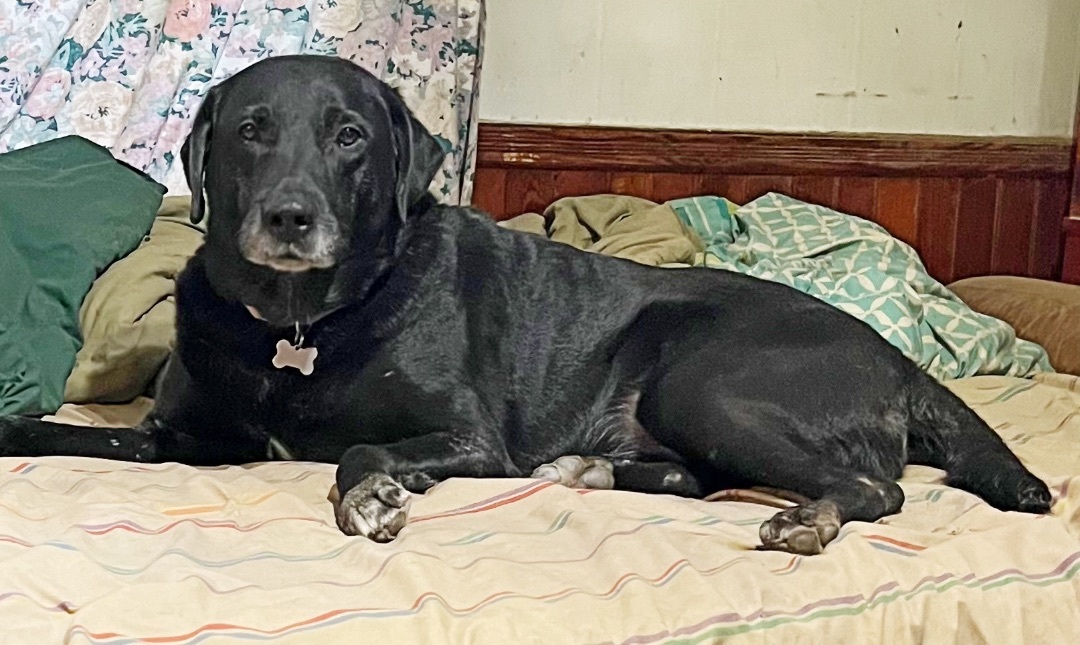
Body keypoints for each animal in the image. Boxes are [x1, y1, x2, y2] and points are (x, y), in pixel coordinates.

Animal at [0, 55, 1045, 553]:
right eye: (251, 131)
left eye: (348, 137)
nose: (289, 217)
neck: (299, 321)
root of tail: (900, 359)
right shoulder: (177, 439)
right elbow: (74, 434)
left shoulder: (468, 437)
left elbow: (369, 450)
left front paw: (370, 495)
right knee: (700, 477)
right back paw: (597, 469)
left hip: (709, 385)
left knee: (877, 487)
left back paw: (805, 519)